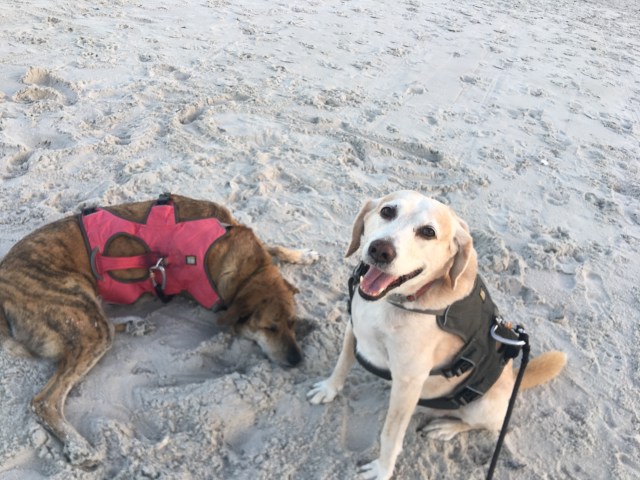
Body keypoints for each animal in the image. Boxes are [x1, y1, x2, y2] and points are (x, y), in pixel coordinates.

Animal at [0, 193, 317, 469]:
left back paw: (134, 323)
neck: (242, 263)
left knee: (104, 321)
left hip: (90, 316)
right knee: (44, 402)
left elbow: (274, 247)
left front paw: (304, 254)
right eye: (269, 328)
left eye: (291, 322)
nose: (297, 360)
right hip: (84, 319)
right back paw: (79, 448)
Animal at [307, 190, 566, 480]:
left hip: (481, 407)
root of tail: (513, 378)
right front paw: (328, 389)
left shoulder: (408, 380)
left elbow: (390, 435)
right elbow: (342, 364)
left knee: (488, 425)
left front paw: (383, 469)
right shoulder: (353, 328)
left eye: (428, 232)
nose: (380, 250)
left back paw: (446, 427)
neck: (394, 301)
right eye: (387, 211)